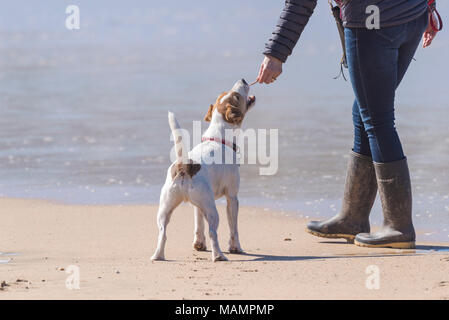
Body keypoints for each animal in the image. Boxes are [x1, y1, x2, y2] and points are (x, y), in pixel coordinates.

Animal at [151, 79, 254, 262]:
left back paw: (158, 255)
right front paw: (236, 248)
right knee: (213, 231)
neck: (218, 138)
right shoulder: (232, 197)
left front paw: (199, 244)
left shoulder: (197, 206)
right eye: (237, 95)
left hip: (165, 208)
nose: (243, 80)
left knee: (162, 233)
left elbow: (198, 224)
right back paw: (219, 255)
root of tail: (185, 165)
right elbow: (233, 228)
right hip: (212, 210)